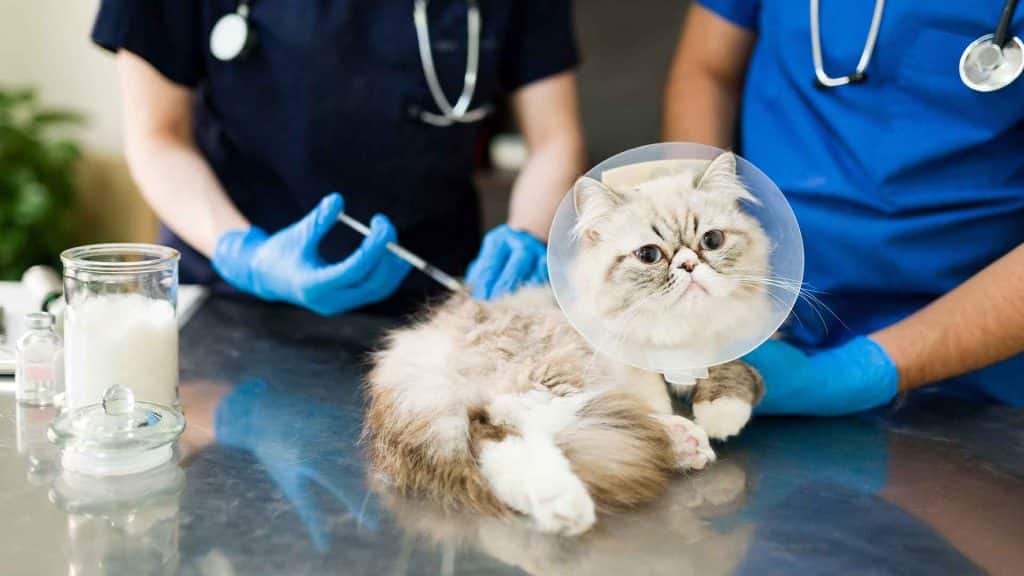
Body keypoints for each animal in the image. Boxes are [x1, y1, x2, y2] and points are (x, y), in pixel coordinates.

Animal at [363, 152, 767, 536]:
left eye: (711, 241)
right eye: (649, 255)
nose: (688, 265)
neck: (680, 330)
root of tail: (416, 345)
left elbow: (735, 370)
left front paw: (719, 410)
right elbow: (653, 395)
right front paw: (716, 417)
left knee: (493, 439)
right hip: (550, 373)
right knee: (520, 422)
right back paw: (580, 499)